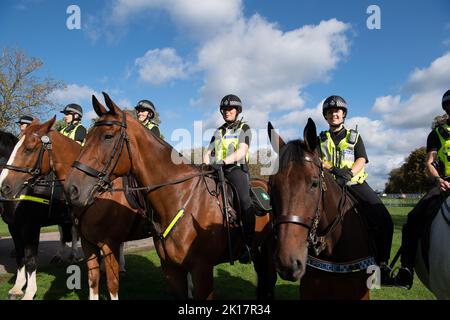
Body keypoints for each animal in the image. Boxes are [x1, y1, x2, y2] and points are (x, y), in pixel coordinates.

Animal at [0, 118, 151, 300]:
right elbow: (21, 257)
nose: (4, 185)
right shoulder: (14, 227)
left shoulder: (31, 227)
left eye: (29, 149)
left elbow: (30, 260)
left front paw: (29, 292)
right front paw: (17, 287)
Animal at [62, 92, 274, 300]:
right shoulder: (171, 270)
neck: (181, 199)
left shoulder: (202, 271)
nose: (71, 188)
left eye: (107, 136)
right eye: (87, 136)